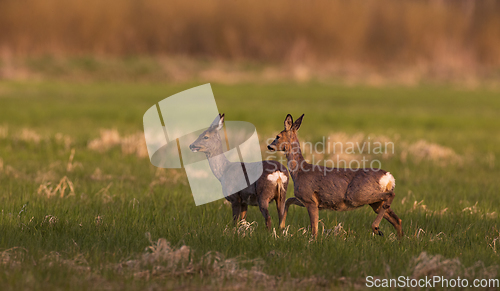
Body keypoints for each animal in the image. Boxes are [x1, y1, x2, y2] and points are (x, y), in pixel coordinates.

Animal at [268, 114, 404, 240]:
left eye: (277, 136)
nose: (269, 146)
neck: (299, 172)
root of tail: (388, 177)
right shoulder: (308, 200)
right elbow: (289, 200)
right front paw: (281, 227)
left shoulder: (310, 199)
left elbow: (314, 229)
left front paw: (312, 241)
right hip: (374, 202)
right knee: (397, 219)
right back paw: (399, 241)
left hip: (358, 195)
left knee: (391, 196)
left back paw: (376, 228)